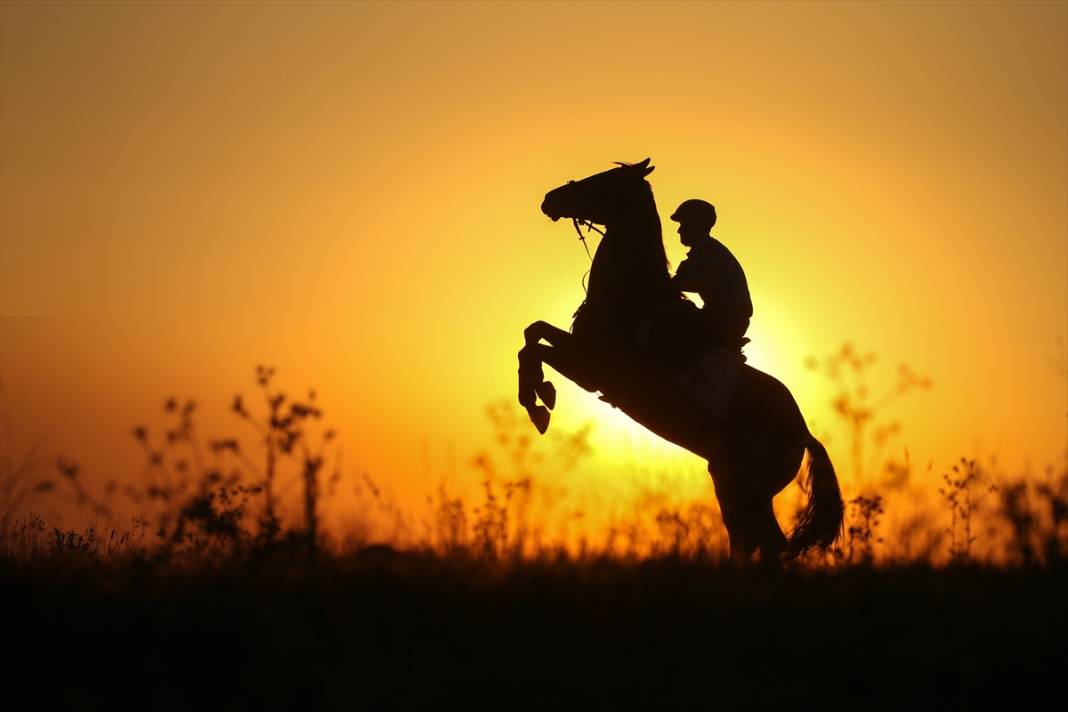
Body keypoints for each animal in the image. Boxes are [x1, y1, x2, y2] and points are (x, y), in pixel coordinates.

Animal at [519, 160, 841, 563]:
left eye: (603, 181)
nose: (551, 199)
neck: (632, 296)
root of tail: (802, 432)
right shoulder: (579, 353)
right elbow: (532, 333)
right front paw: (539, 396)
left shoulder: (591, 368)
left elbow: (534, 346)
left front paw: (539, 400)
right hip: (731, 483)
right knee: (752, 541)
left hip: (745, 486)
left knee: (765, 545)